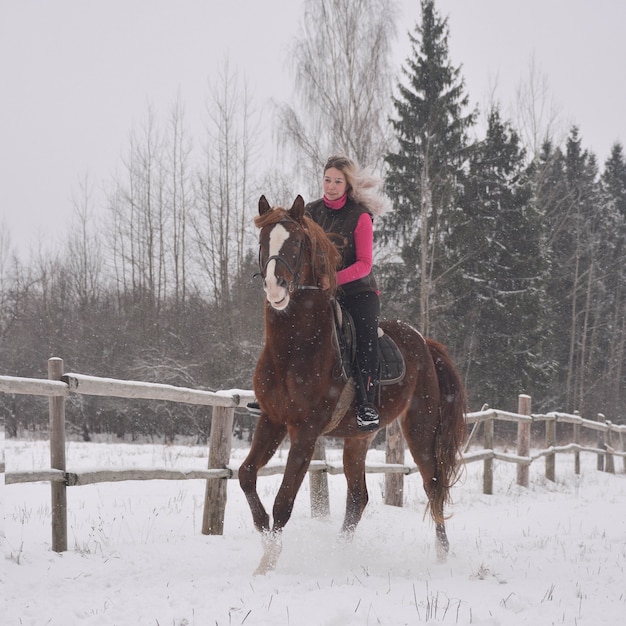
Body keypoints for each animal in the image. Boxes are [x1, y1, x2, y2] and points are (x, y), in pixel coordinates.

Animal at [239, 194, 464, 572]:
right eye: (263, 241)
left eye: (297, 243)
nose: (275, 288)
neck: (294, 349)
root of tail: (423, 340)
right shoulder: (272, 420)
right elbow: (246, 475)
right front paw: (264, 539)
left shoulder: (305, 430)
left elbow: (284, 500)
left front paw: (268, 562)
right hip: (358, 439)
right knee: (359, 498)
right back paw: (341, 553)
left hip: (420, 430)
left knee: (433, 485)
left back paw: (443, 555)